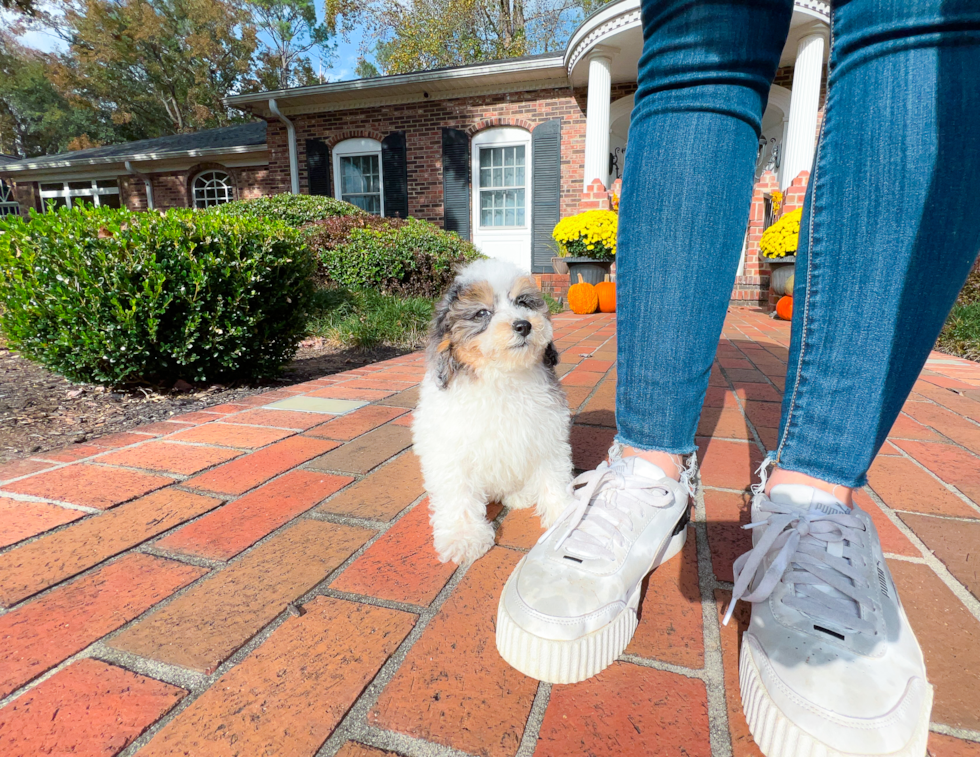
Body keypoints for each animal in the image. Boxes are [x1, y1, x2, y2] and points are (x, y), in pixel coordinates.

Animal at [414, 258, 576, 560]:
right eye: (482, 313)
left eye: (523, 302)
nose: (523, 325)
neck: (502, 377)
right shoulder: (451, 448)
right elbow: (458, 491)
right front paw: (463, 536)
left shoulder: (547, 433)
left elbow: (553, 474)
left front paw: (565, 515)